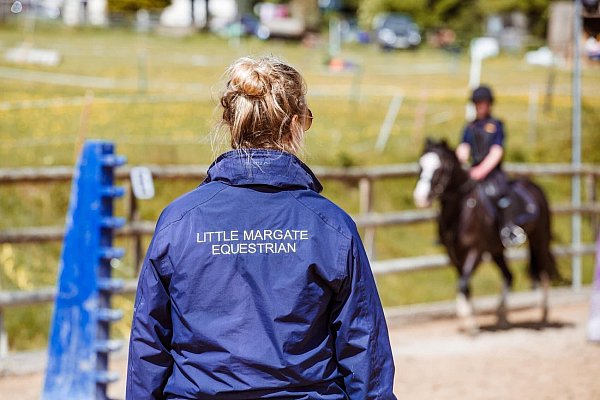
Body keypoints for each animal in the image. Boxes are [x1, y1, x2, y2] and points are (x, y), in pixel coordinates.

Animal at [410, 139, 560, 332]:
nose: (420, 198)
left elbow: (463, 283)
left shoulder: (475, 251)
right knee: (509, 276)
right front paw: (469, 320)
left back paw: (544, 313)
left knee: (543, 270)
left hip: (539, 240)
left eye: (440, 168)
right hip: (497, 251)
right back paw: (502, 316)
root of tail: (534, 186)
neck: (461, 211)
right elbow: (464, 284)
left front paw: (469, 323)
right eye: (420, 165)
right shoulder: (454, 255)